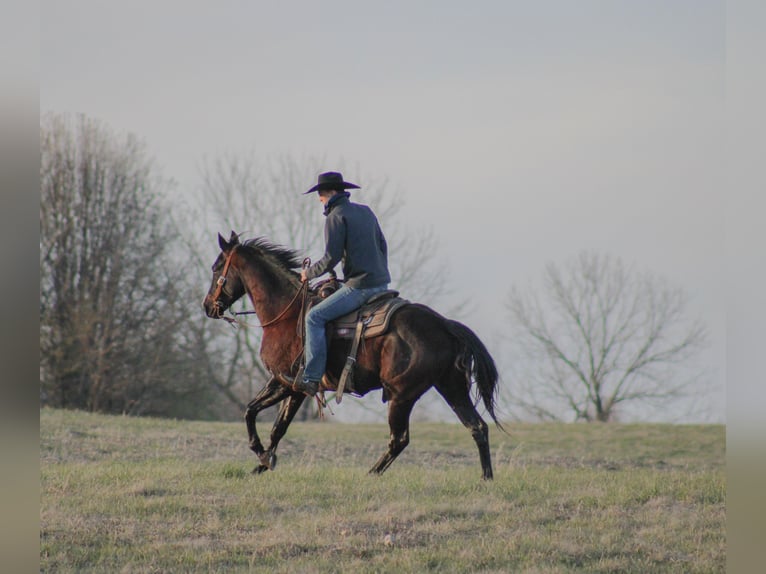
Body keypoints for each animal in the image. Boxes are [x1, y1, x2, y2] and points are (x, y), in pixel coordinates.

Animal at [204, 232, 504, 480]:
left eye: (217, 267)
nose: (208, 306)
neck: (286, 313)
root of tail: (444, 325)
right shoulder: (280, 381)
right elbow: (257, 413)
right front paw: (262, 463)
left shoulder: (294, 385)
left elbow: (270, 422)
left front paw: (262, 456)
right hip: (451, 388)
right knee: (477, 427)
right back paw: (486, 478)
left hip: (401, 395)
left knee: (399, 439)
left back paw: (371, 473)